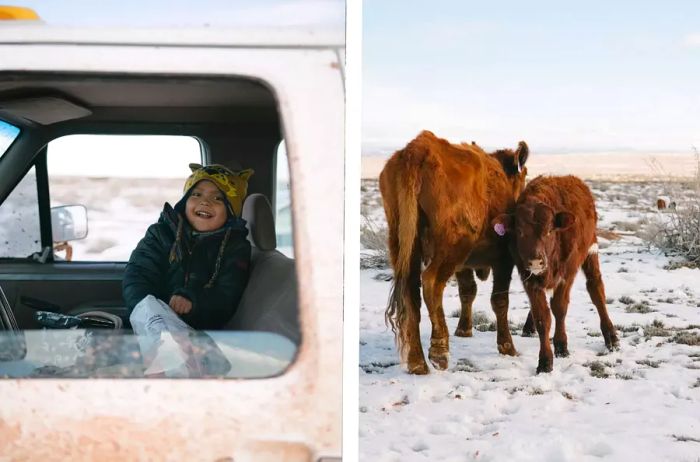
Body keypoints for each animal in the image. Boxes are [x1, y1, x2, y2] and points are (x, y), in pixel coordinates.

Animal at [380, 128, 528, 374]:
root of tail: (418, 149)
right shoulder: (503, 259)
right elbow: (499, 301)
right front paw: (507, 346)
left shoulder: (464, 264)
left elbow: (468, 291)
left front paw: (464, 329)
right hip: (452, 246)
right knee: (431, 282)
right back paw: (439, 351)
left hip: (402, 243)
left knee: (411, 293)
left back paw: (418, 363)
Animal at [492, 175, 616, 374]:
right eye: (519, 231)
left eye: (550, 230)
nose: (536, 261)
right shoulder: (529, 278)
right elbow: (542, 316)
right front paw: (545, 360)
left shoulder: (566, 275)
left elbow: (559, 308)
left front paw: (561, 346)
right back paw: (529, 326)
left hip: (591, 249)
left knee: (596, 290)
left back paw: (611, 336)